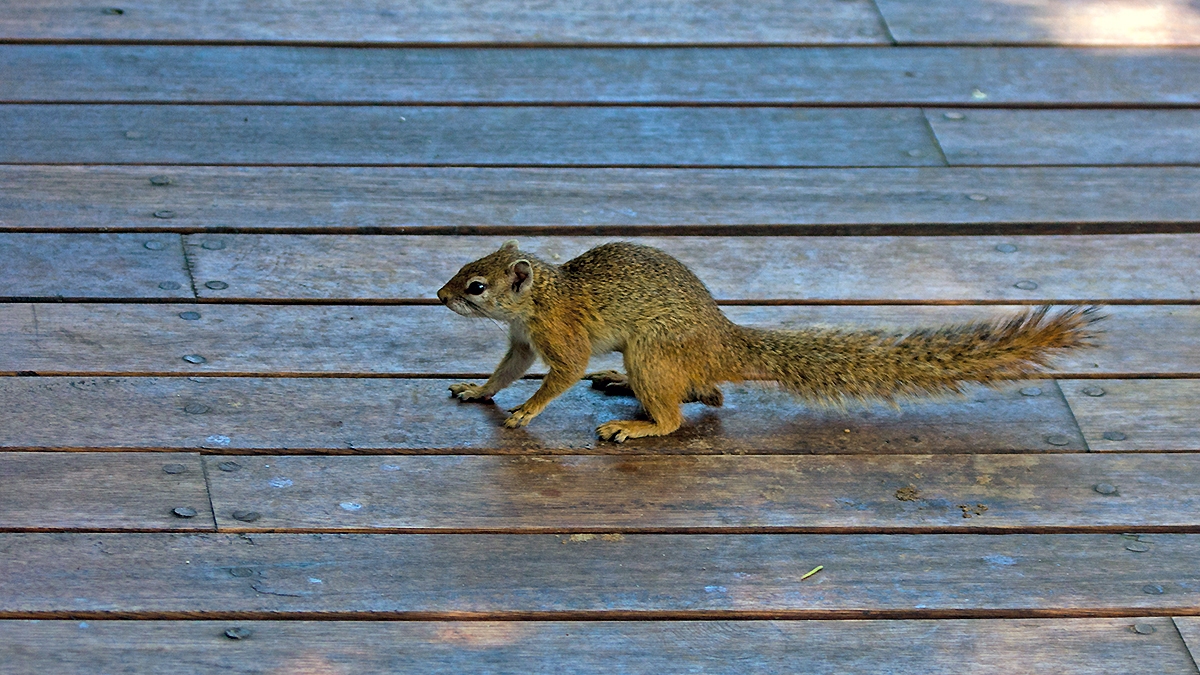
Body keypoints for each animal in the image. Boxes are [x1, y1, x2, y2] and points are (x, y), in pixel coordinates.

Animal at [437, 240, 1102, 443]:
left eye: (475, 285)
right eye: (467, 267)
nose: (438, 294)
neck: (537, 300)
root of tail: (721, 338)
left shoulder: (560, 336)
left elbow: (563, 373)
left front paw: (526, 410)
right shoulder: (522, 341)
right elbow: (505, 370)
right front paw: (479, 391)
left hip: (654, 351)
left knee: (679, 415)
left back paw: (636, 425)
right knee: (705, 393)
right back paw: (620, 384)